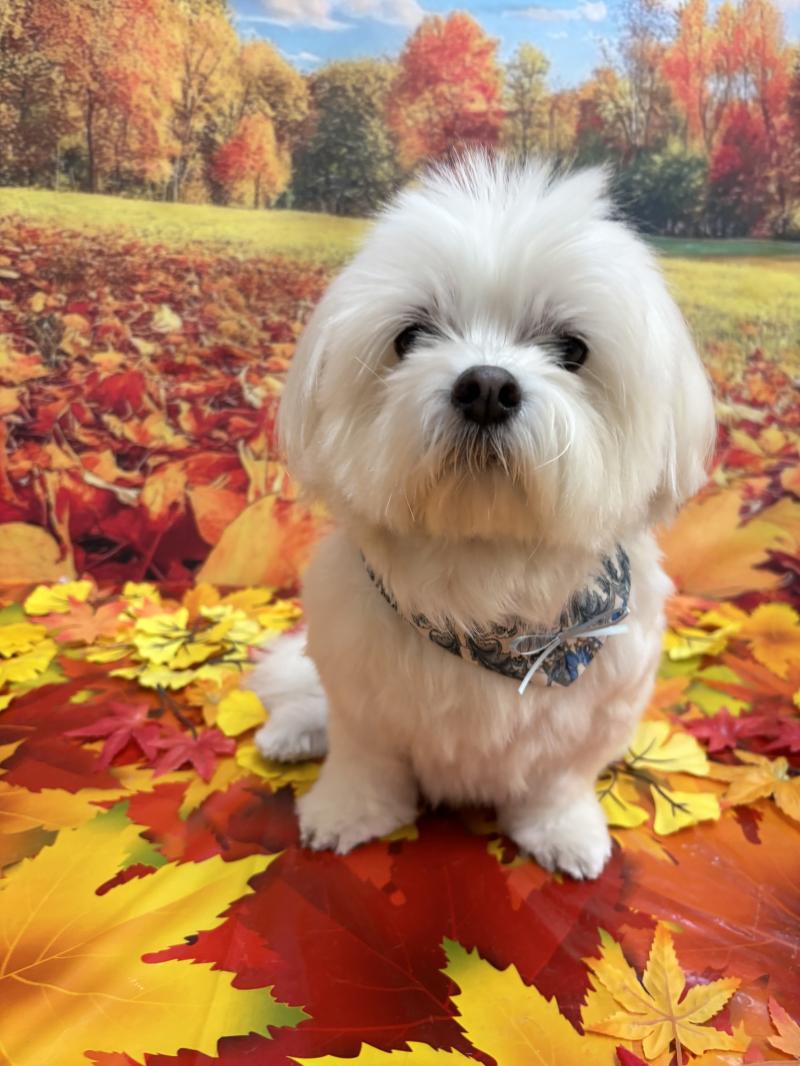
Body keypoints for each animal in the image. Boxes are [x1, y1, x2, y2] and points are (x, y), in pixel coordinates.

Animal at [247, 153, 715, 879]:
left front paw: (563, 832)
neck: (484, 566)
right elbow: (363, 761)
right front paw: (347, 813)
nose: (487, 385)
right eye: (410, 336)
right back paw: (291, 731)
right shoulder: (360, 695)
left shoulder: (594, 711)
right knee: (306, 698)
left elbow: (558, 782)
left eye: (571, 348)